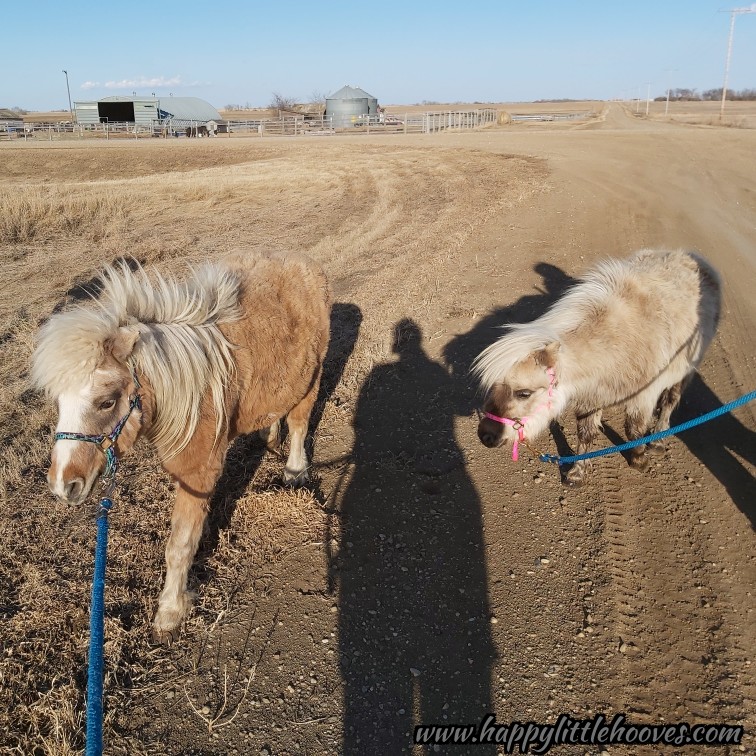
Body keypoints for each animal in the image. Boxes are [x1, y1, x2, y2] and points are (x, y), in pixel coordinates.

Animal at [32, 251, 331, 642]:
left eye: (106, 402)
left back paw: (295, 470)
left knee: (298, 422)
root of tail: (304, 263)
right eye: (59, 402)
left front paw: (171, 612)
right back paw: (269, 436)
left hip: (311, 375)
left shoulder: (198, 472)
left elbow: (179, 546)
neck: (187, 385)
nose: (62, 484)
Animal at [474, 249, 721, 486]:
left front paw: (639, 459)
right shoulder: (592, 396)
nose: (486, 436)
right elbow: (586, 434)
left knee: (670, 401)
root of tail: (693, 257)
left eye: (523, 393)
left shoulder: (643, 396)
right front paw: (577, 473)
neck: (615, 341)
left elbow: (635, 430)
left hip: (685, 370)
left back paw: (658, 441)